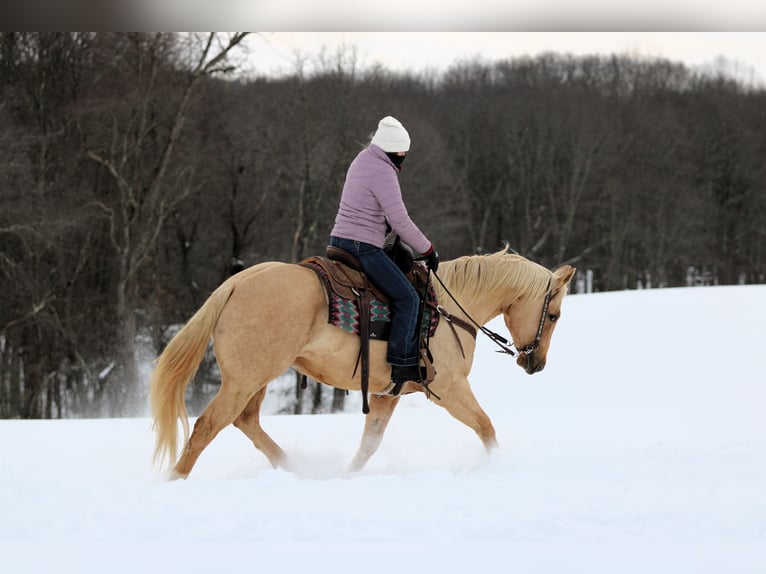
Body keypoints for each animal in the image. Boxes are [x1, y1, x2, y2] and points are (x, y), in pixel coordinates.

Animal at [150, 247, 576, 478]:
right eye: (554, 315)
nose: (535, 363)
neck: (449, 308)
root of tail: (237, 283)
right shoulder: (450, 389)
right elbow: (486, 427)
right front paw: (498, 465)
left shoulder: (388, 394)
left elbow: (369, 444)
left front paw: (347, 475)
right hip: (245, 379)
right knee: (208, 425)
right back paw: (175, 479)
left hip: (255, 378)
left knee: (246, 421)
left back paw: (295, 467)